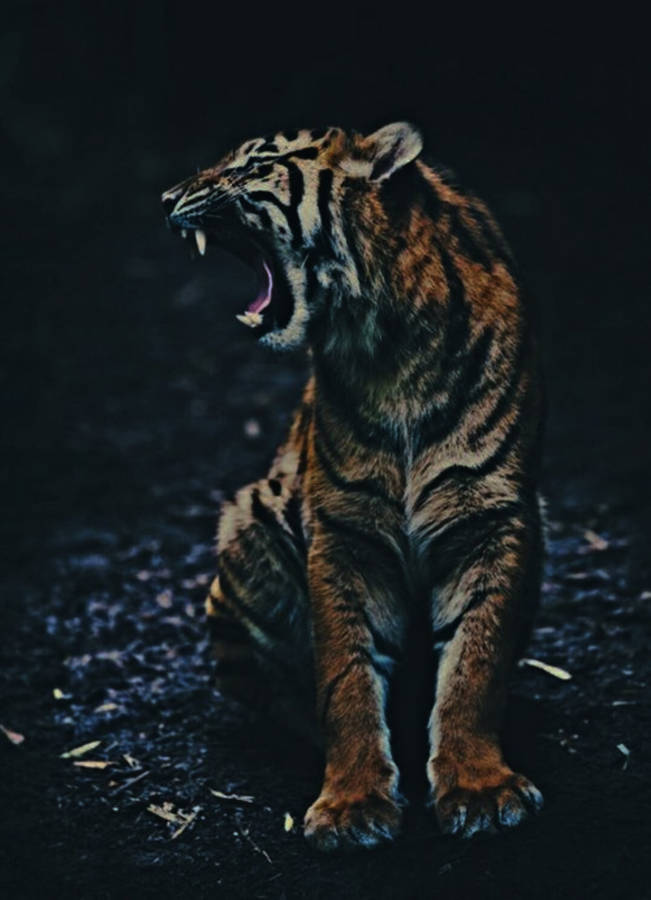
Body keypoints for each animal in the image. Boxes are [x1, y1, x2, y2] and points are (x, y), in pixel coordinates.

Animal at [161, 122, 545, 851]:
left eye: (253, 165)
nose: (167, 197)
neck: (388, 348)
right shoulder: (345, 533)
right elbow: (345, 676)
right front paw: (352, 805)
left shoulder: (488, 520)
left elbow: (474, 666)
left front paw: (479, 792)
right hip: (250, 523)